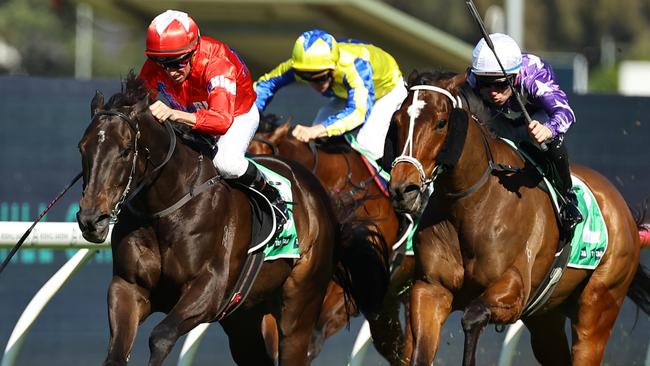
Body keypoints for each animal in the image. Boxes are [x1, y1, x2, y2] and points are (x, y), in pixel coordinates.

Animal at [76, 73, 390, 364]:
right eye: (83, 147)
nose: (91, 218)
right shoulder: (128, 287)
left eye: (124, 150)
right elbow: (116, 355)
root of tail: (320, 196)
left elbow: (161, 336)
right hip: (244, 319)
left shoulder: (211, 288)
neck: (164, 209)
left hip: (299, 309)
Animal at [388, 71, 644, 366]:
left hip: (599, 304)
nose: (402, 189)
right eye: (397, 121)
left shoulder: (514, 289)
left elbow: (473, 316)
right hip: (546, 318)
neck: (471, 204)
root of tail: (624, 213)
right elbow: (421, 353)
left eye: (441, 123)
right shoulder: (430, 289)